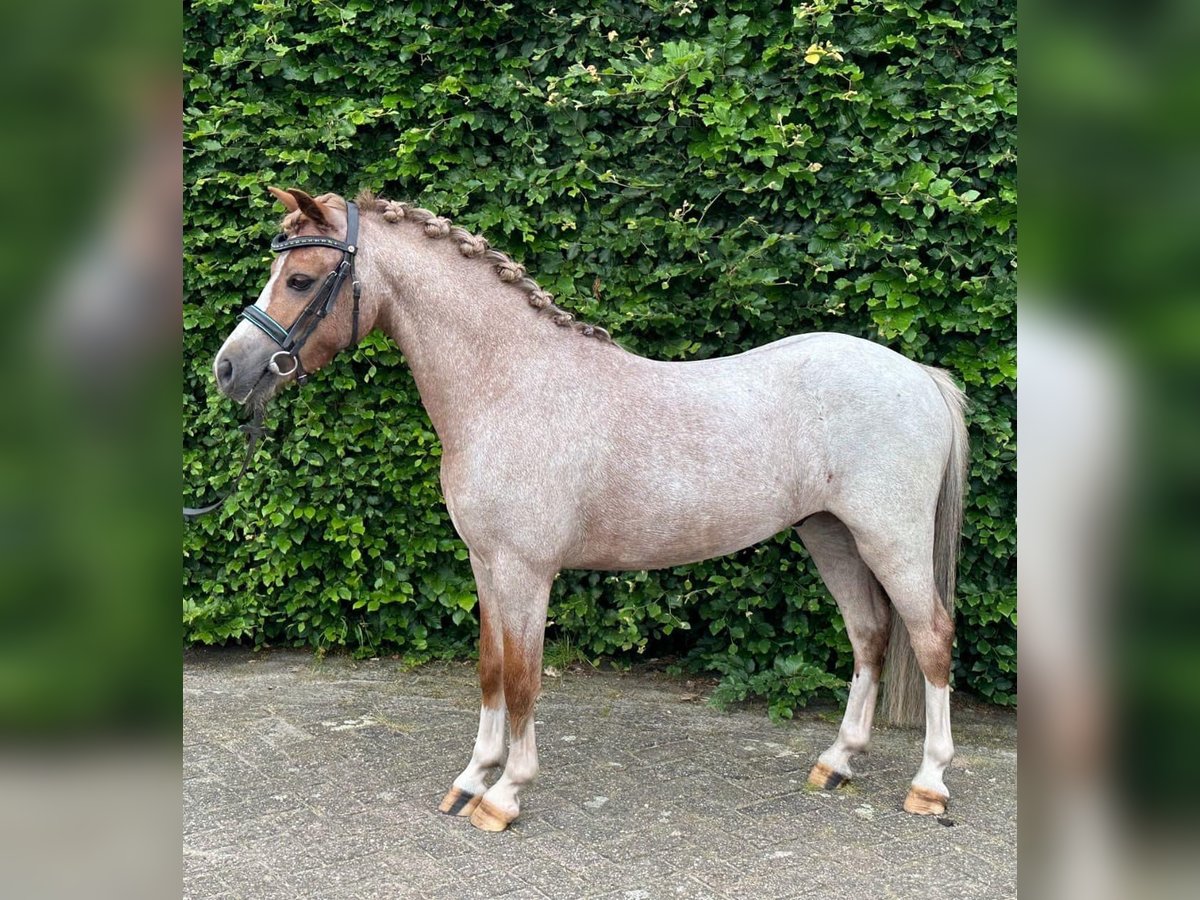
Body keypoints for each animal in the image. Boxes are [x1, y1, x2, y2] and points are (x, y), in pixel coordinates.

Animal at [211, 187, 969, 835]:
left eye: (301, 278)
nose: (228, 369)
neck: (508, 382)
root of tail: (918, 375)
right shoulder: (485, 564)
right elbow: (490, 669)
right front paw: (471, 779)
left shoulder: (527, 570)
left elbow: (522, 679)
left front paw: (506, 794)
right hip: (831, 536)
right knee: (870, 634)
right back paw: (836, 763)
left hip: (890, 538)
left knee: (930, 636)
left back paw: (929, 784)